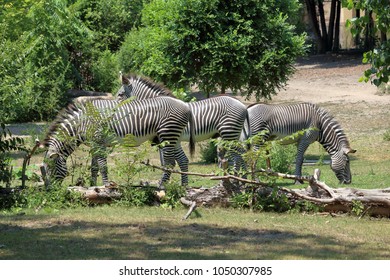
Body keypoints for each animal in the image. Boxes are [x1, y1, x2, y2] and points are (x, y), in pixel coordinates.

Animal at [40, 96, 195, 188]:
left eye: (51, 169)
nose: (51, 192)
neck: (82, 123)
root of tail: (186, 105)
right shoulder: (94, 144)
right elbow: (94, 167)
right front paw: (93, 187)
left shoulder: (99, 141)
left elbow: (102, 166)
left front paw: (106, 187)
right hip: (174, 137)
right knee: (183, 160)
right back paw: (184, 187)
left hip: (168, 134)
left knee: (169, 163)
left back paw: (161, 186)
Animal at [117, 74, 250, 175]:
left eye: (120, 94)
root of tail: (243, 105)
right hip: (233, 133)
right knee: (242, 153)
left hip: (229, 132)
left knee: (238, 154)